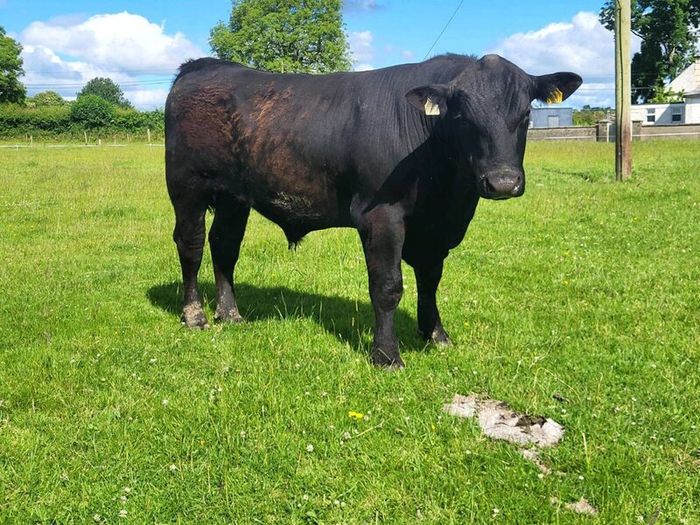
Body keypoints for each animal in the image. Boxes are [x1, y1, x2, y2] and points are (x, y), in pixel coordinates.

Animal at [165, 53, 582, 368]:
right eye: (463, 116)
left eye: (525, 114)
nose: (503, 182)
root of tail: (201, 66)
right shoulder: (381, 216)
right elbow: (387, 286)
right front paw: (386, 355)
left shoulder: (435, 228)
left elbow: (430, 280)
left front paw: (436, 335)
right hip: (186, 187)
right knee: (191, 246)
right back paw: (195, 315)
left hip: (234, 197)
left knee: (225, 247)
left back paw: (230, 313)